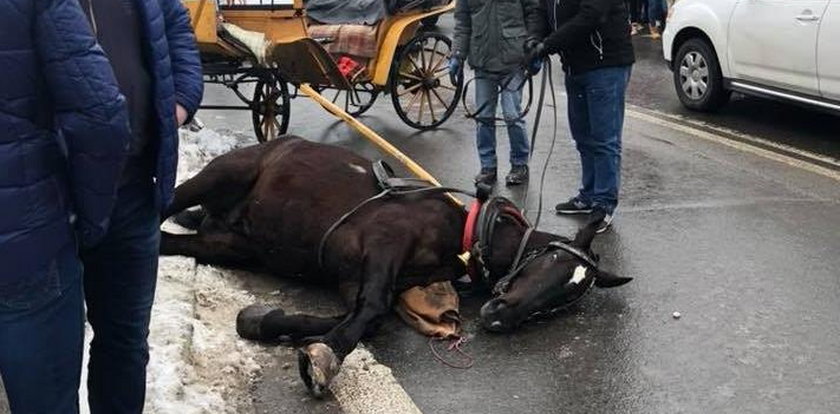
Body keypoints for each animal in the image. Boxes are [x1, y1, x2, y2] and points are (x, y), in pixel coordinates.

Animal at [159, 136, 632, 394]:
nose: (499, 317)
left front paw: (264, 319)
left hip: (231, 244)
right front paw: (326, 355)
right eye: (550, 261)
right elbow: (372, 311)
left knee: (172, 240)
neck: (460, 235)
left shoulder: (354, 277)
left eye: (563, 302)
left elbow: (370, 319)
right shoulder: (383, 244)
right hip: (217, 179)